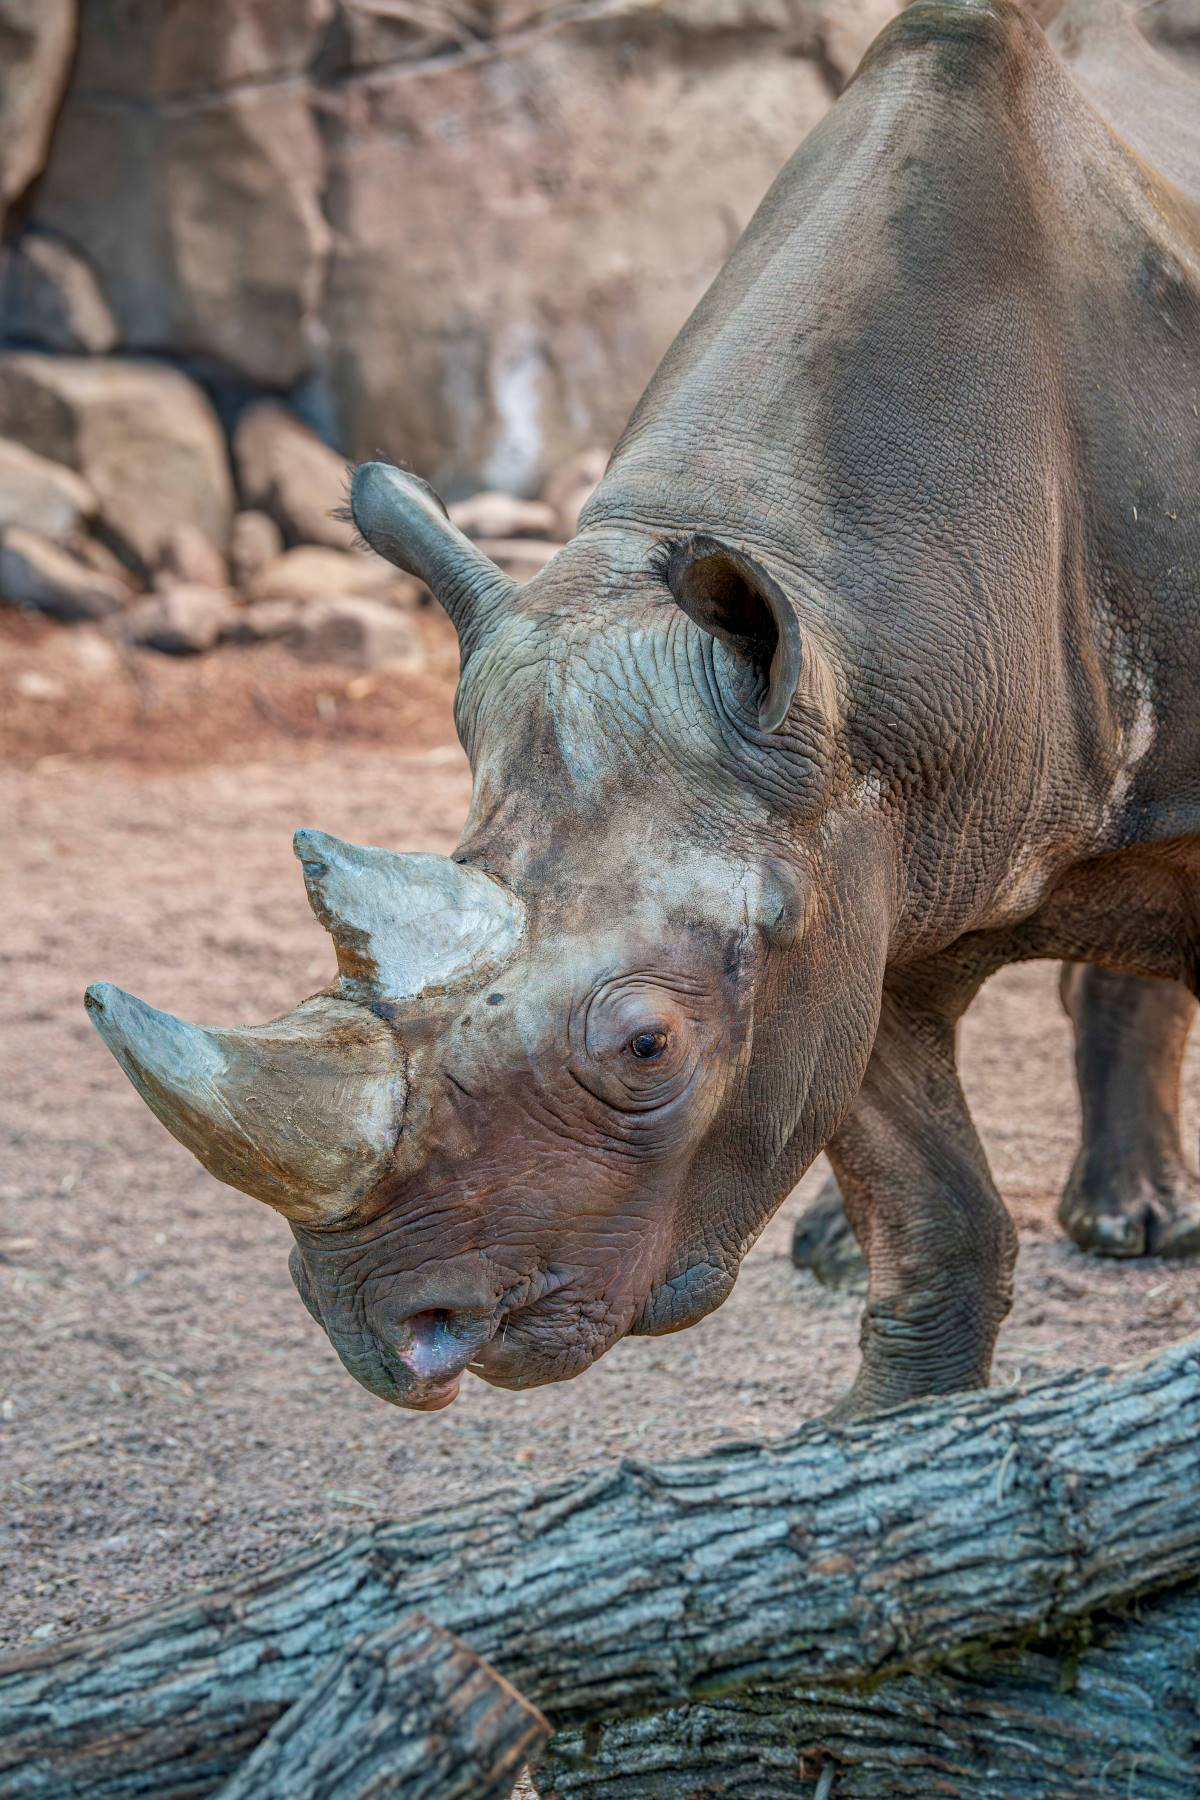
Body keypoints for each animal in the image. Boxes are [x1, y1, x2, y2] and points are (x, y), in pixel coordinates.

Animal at [87, 0, 1199, 1417]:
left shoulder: (826, 813)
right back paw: (843, 1249)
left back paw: (1136, 1225)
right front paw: (882, 1433)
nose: (374, 1329)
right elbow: (924, 1193)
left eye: (648, 1049)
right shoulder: (847, 844)